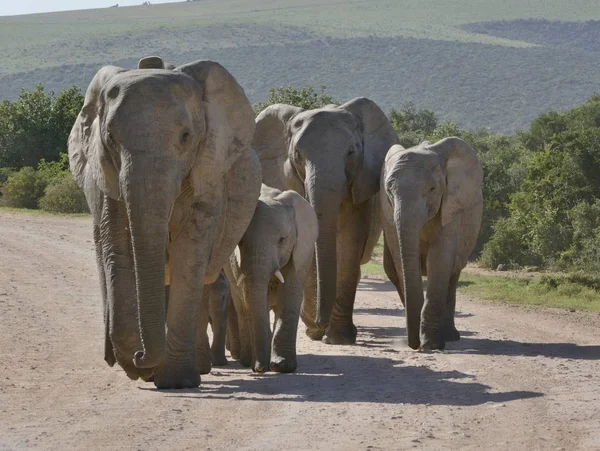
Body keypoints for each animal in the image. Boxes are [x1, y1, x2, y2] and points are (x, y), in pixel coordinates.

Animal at [68, 55, 260, 388]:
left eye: (185, 138)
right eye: (110, 139)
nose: (140, 358)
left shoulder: (208, 172)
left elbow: (189, 257)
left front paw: (175, 381)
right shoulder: (106, 177)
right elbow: (119, 252)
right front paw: (138, 365)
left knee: (202, 280)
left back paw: (196, 367)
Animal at [224, 185, 318, 374]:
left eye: (282, 240)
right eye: (241, 242)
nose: (261, 369)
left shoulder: (301, 252)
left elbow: (289, 296)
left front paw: (283, 366)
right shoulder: (240, 264)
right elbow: (254, 300)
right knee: (242, 308)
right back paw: (246, 361)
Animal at [252, 100, 398, 346]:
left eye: (351, 152)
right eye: (298, 155)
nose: (320, 323)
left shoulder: (360, 192)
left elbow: (349, 247)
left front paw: (339, 338)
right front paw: (314, 330)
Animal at [382, 138, 486, 354]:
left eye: (432, 190)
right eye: (389, 191)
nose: (414, 345)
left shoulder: (451, 205)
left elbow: (439, 259)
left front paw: (431, 344)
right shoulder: (387, 211)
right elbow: (399, 257)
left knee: (453, 274)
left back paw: (450, 336)